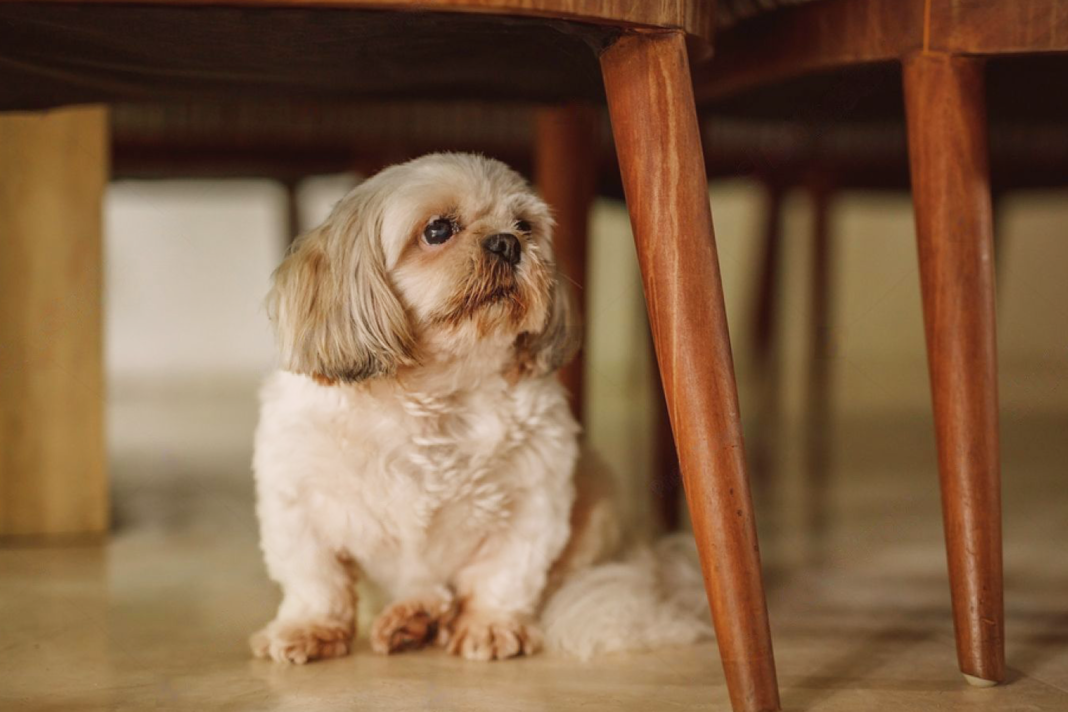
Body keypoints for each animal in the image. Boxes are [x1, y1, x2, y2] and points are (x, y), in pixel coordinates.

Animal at [252, 153, 709, 666]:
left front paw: (490, 624)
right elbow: (316, 579)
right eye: (437, 230)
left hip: (597, 511)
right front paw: (310, 627)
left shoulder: (534, 502)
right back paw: (415, 617)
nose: (507, 242)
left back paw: (420, 616)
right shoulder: (297, 501)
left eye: (525, 226)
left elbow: (505, 574)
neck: (436, 395)